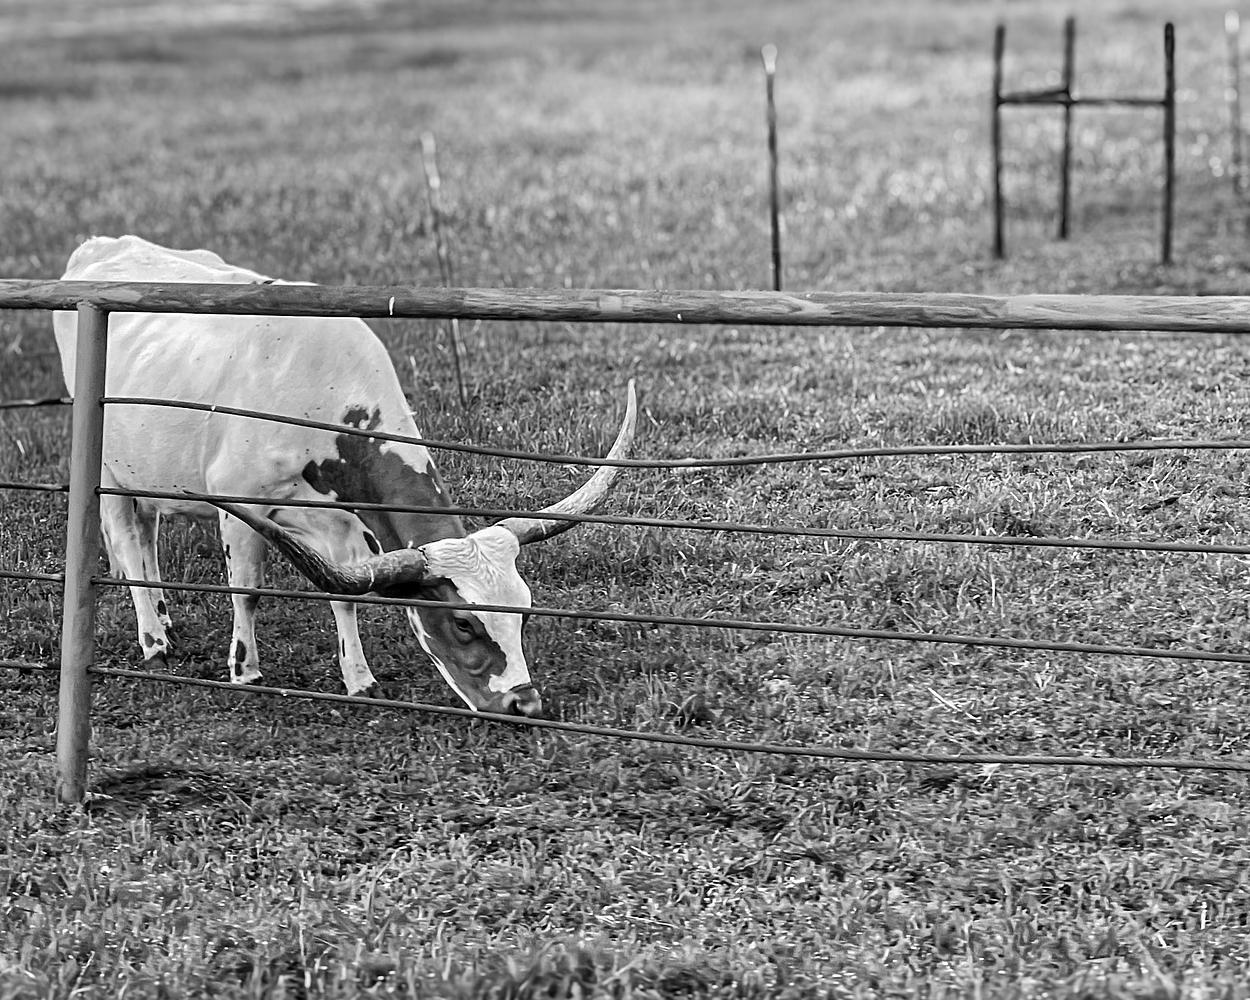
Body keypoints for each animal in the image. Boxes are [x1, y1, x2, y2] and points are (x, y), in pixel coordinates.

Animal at [53, 235, 636, 717]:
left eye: (524, 610)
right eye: (464, 622)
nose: (525, 704)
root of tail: (102, 246)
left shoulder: (341, 522)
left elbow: (346, 594)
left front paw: (360, 680)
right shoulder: (241, 508)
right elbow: (247, 591)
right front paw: (245, 670)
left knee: (146, 533)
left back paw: (163, 615)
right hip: (107, 468)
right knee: (126, 542)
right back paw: (153, 640)